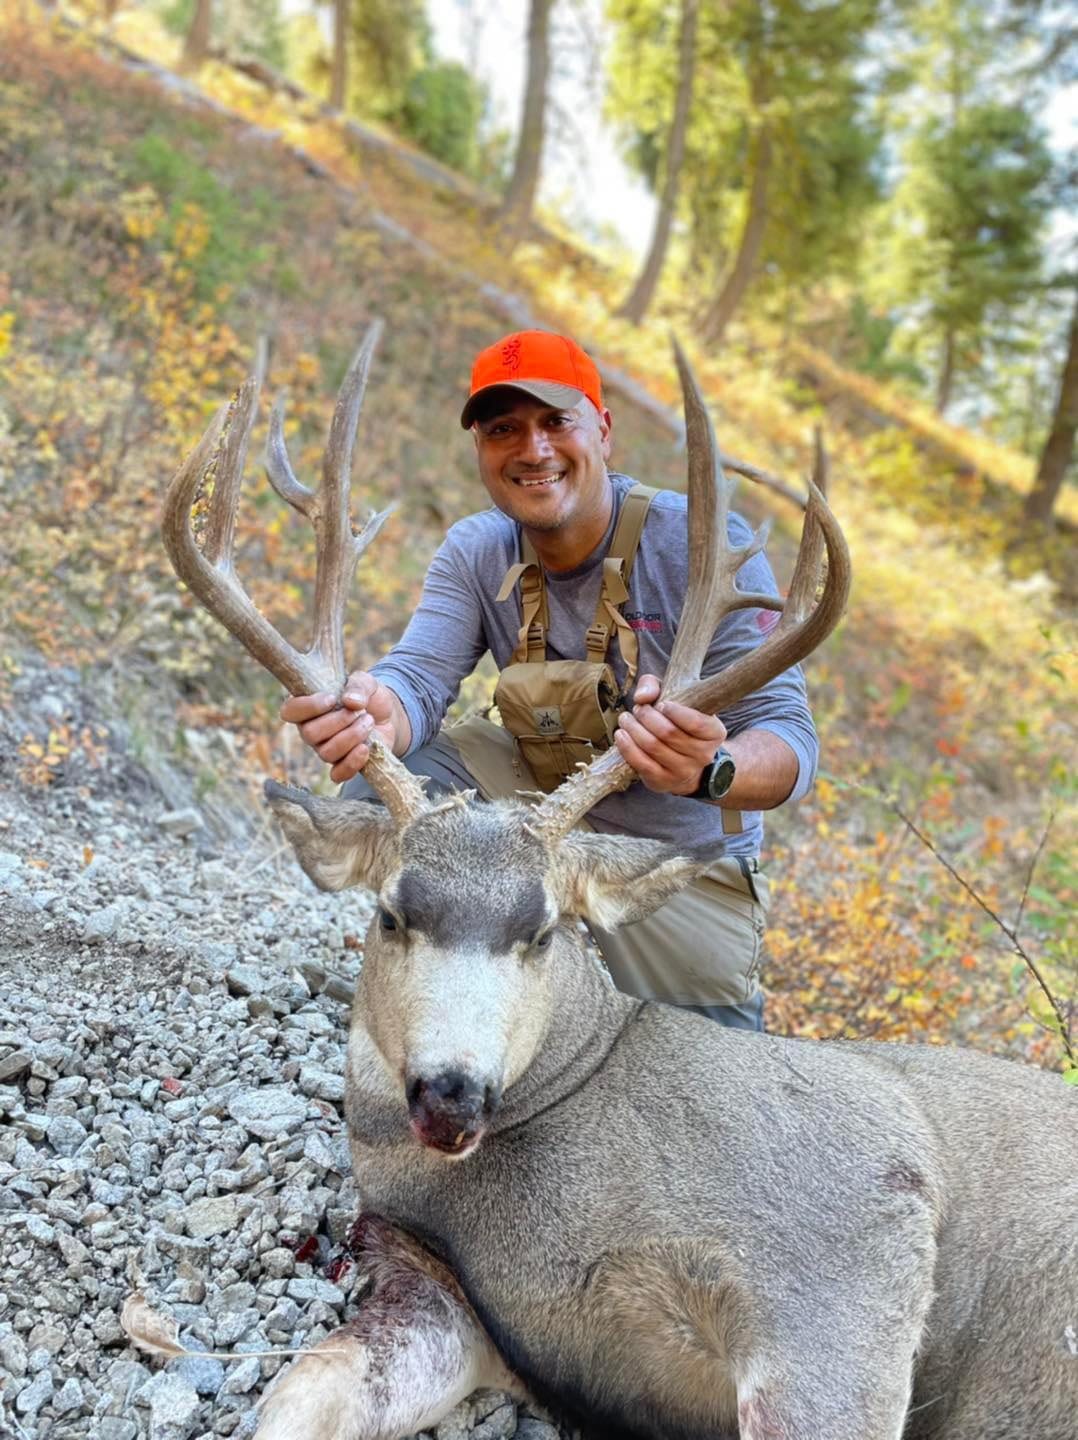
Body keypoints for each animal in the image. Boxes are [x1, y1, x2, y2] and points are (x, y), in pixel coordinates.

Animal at [163, 323, 1078, 1440]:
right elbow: (302, 1389)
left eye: (546, 929)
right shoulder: (450, 1290)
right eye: (390, 913)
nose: (450, 1094)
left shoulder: (857, 1231)